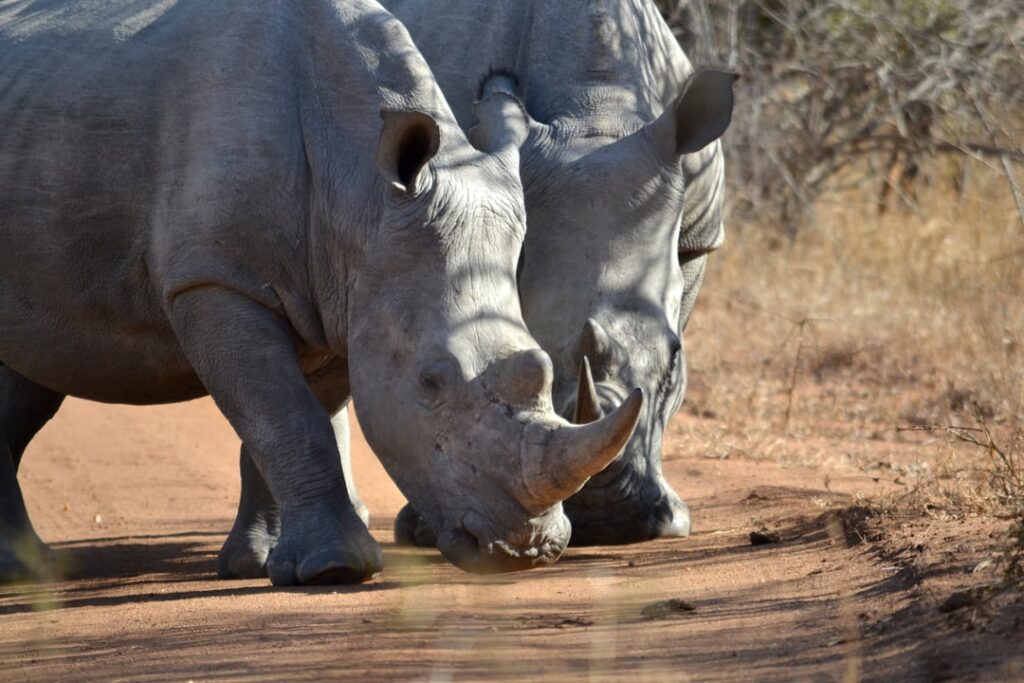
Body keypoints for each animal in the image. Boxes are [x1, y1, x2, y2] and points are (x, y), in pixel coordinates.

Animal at [0, 0, 645, 585]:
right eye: (430, 384)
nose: (530, 550)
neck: (358, 186)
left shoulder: (350, 295)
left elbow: (283, 419)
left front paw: (260, 563)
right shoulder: (216, 278)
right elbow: (285, 417)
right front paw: (336, 568)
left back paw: (29, 572)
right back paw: (24, 577)